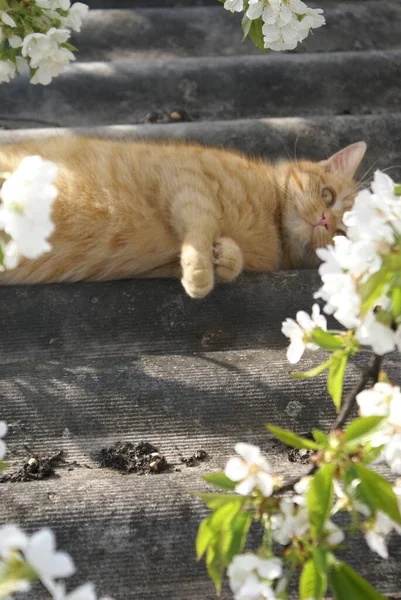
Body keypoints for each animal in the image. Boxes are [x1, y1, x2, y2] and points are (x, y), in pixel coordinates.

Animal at [0, 138, 366, 298]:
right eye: (328, 196)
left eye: (341, 235)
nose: (324, 221)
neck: (271, 223)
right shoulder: (186, 180)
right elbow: (201, 224)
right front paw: (201, 271)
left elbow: (222, 254)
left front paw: (223, 258)